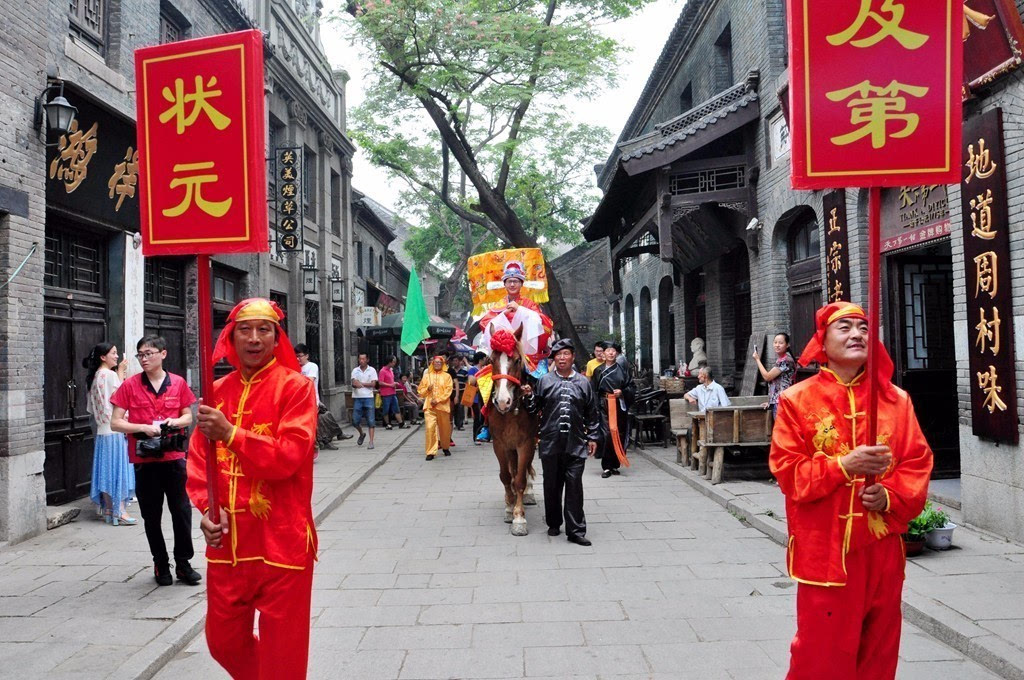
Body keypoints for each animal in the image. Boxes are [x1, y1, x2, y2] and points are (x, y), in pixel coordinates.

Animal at [485, 331, 536, 532]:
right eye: (491, 360)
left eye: (516, 360)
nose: (502, 401)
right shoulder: (500, 443)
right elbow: (506, 476)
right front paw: (509, 508)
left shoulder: (526, 443)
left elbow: (520, 479)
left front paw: (519, 518)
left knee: (525, 469)